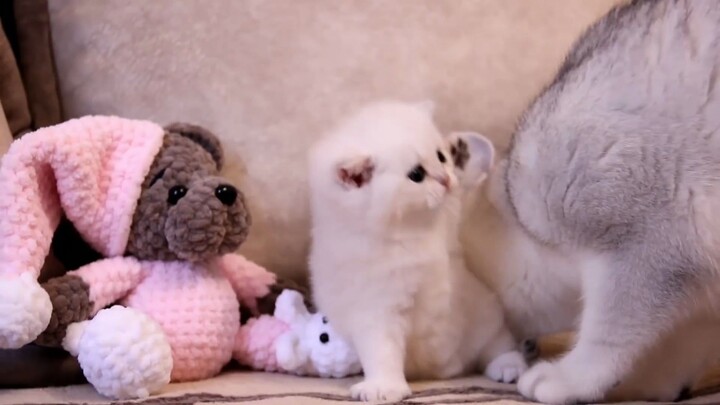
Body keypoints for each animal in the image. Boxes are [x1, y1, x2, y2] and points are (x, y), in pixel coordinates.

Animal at [306, 100, 524, 400]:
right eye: (416, 175)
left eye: (440, 157)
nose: (446, 179)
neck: (409, 232)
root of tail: (448, 369)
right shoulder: (377, 310)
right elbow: (383, 353)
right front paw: (384, 387)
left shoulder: (451, 224)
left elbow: (460, 207)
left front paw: (467, 155)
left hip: (483, 314)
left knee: (497, 344)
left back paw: (509, 366)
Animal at [496, 1, 720, 402]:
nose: (518, 345)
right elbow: (685, 346)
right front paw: (648, 383)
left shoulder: (647, 241)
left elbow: (610, 329)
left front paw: (572, 377)